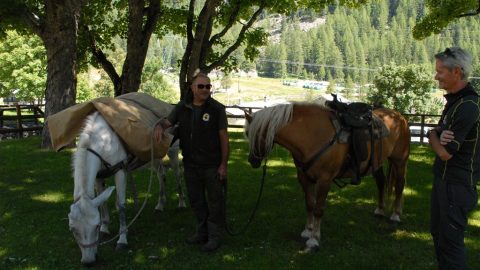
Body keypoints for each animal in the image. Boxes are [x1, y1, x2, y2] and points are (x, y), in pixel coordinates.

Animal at [68, 110, 185, 264]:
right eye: (73, 230)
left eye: (95, 226)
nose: (88, 261)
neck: (103, 140)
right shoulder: (99, 177)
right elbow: (103, 204)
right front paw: (105, 229)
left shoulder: (120, 170)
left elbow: (121, 205)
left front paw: (122, 240)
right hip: (153, 156)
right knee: (161, 174)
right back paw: (160, 205)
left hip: (173, 151)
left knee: (177, 175)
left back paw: (181, 203)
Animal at [246, 100, 410, 252]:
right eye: (247, 134)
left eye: (255, 133)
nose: (252, 160)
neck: (313, 134)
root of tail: (399, 116)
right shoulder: (305, 178)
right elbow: (309, 204)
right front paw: (307, 230)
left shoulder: (324, 180)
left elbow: (318, 209)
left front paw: (314, 240)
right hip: (376, 164)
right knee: (381, 183)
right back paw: (380, 210)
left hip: (400, 161)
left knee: (399, 186)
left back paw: (395, 215)